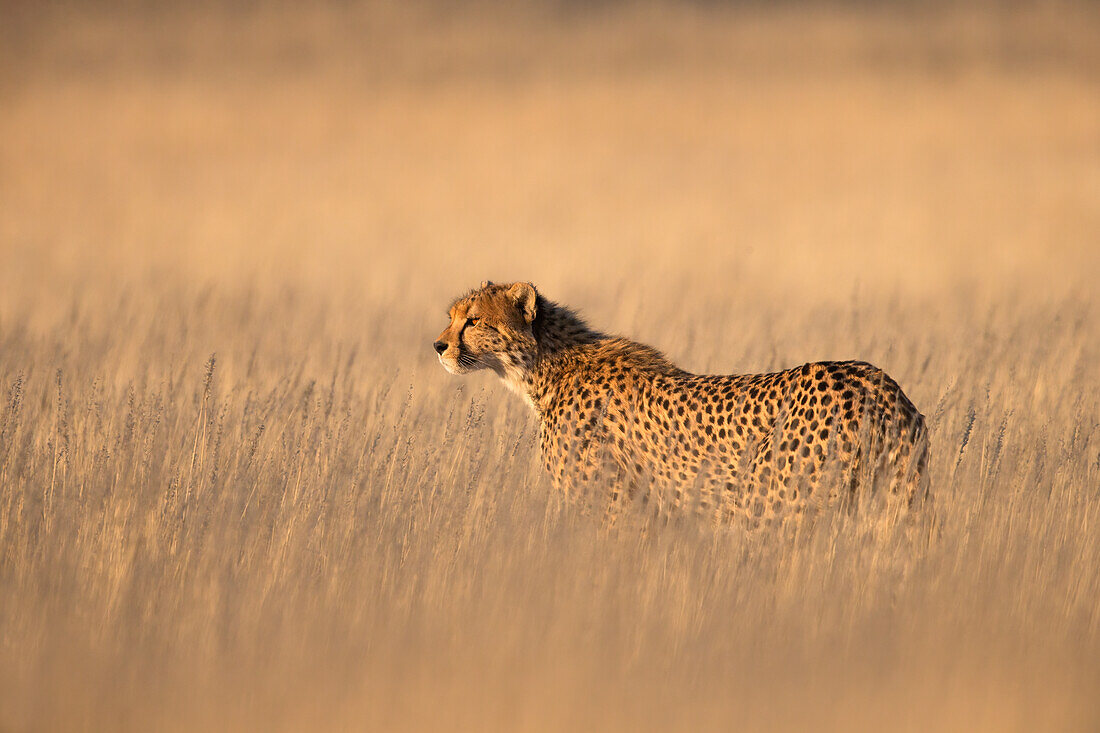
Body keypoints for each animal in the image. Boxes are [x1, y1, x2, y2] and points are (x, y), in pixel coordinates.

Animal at [433, 279, 932, 526]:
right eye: (452, 317)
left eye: (473, 320)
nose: (438, 346)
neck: (545, 367)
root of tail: (873, 382)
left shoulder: (612, 506)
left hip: (772, 509)